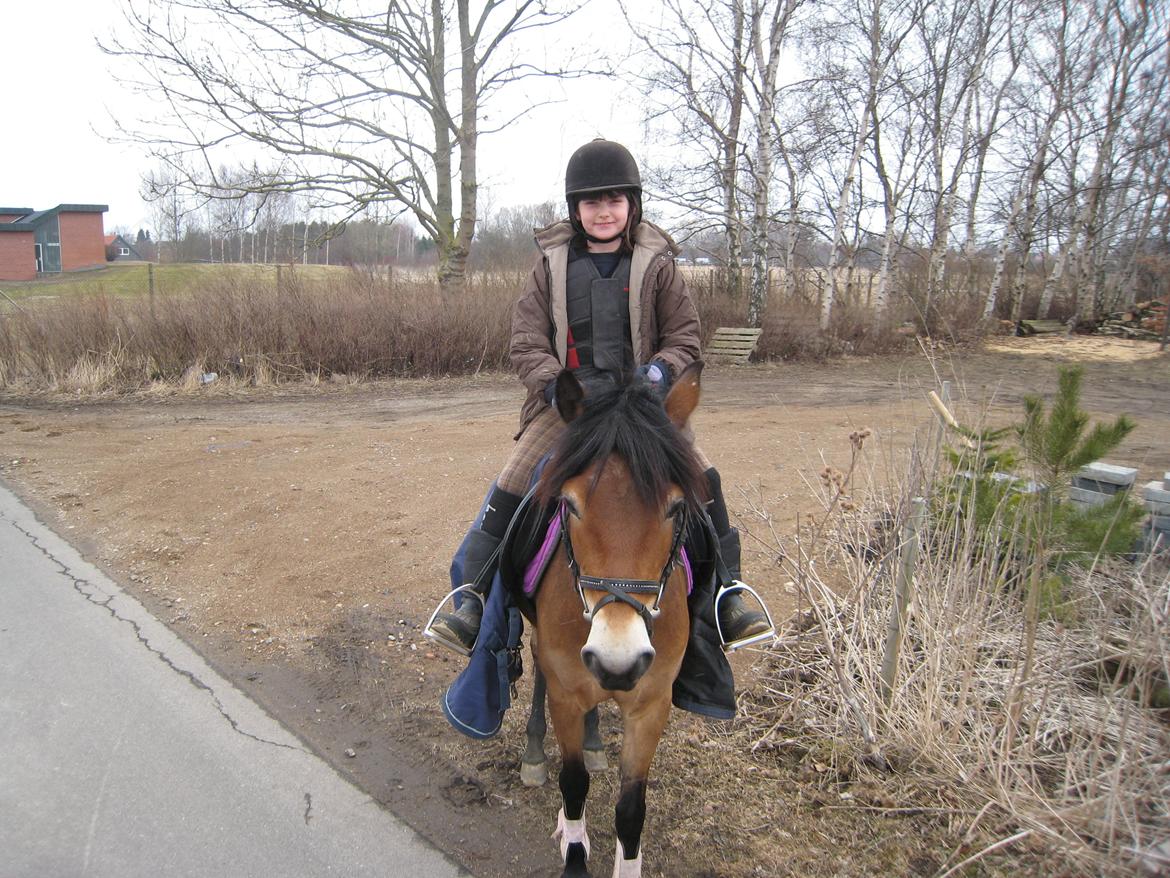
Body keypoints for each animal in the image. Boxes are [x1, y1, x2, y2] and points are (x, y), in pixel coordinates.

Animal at [521, 362, 702, 878]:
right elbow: (574, 783)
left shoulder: (651, 704)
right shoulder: (565, 693)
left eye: (676, 507)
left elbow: (631, 809)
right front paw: (574, 852)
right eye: (569, 504)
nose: (616, 661)